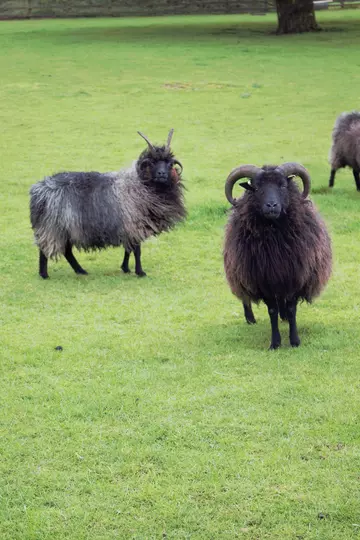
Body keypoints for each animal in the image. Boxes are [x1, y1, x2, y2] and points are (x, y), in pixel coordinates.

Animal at [29, 130, 186, 278]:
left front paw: (125, 268)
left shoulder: (128, 227)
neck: (139, 184)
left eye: (170, 164)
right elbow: (137, 251)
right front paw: (140, 272)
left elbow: (128, 249)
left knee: (66, 251)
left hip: (65, 228)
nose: (161, 174)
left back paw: (80, 270)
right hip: (53, 227)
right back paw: (44, 274)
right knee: (45, 250)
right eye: (152, 163)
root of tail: (38, 189)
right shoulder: (134, 224)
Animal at [225, 162, 332, 350]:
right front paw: (275, 343)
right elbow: (272, 311)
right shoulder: (264, 280)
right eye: (257, 188)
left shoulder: (294, 277)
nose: (272, 205)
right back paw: (250, 318)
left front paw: (294, 340)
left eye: (282, 185)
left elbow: (291, 309)